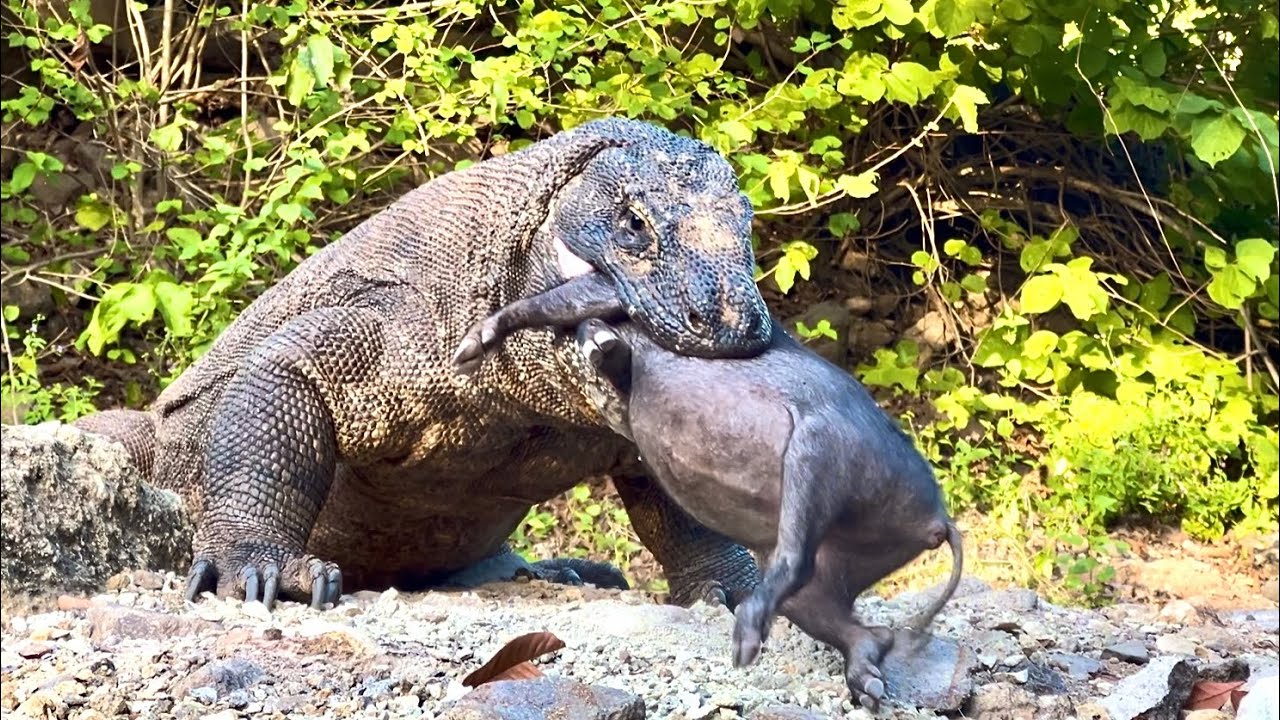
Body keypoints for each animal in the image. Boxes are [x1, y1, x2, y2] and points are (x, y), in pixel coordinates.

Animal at [452, 272, 964, 709]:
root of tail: (939, 521)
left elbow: (582, 298)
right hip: (845, 561)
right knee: (852, 623)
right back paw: (866, 689)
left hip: (822, 448)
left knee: (795, 556)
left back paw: (746, 643)